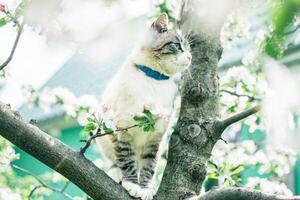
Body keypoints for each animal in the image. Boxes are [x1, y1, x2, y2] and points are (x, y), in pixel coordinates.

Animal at [97, 13, 192, 199]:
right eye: (177, 46)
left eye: (189, 48)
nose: (190, 57)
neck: (154, 79)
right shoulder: (123, 129)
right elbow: (126, 159)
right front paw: (132, 185)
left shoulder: (156, 137)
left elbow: (149, 165)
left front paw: (146, 188)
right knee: (114, 161)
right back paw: (117, 175)